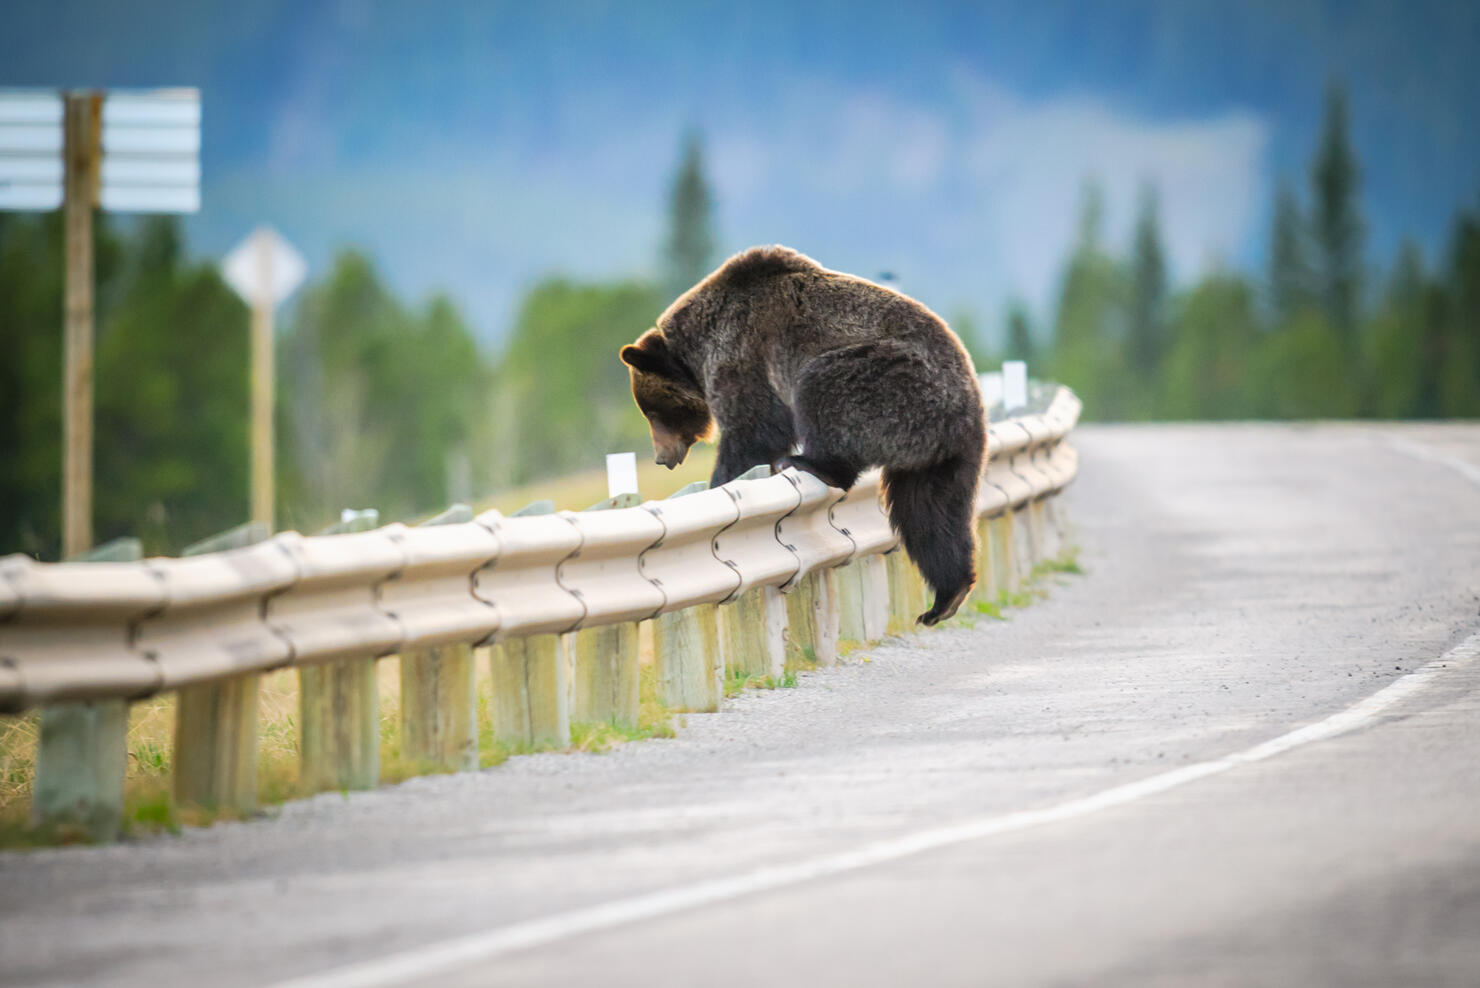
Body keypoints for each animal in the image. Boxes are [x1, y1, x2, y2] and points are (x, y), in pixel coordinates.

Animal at [621, 245, 982, 624]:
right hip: (943, 455)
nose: (662, 457)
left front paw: (720, 481)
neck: (698, 347)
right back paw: (946, 598)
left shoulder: (743, 353)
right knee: (930, 510)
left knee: (824, 389)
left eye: (654, 412)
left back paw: (807, 462)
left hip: (890, 378)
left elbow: (752, 429)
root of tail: (960, 407)